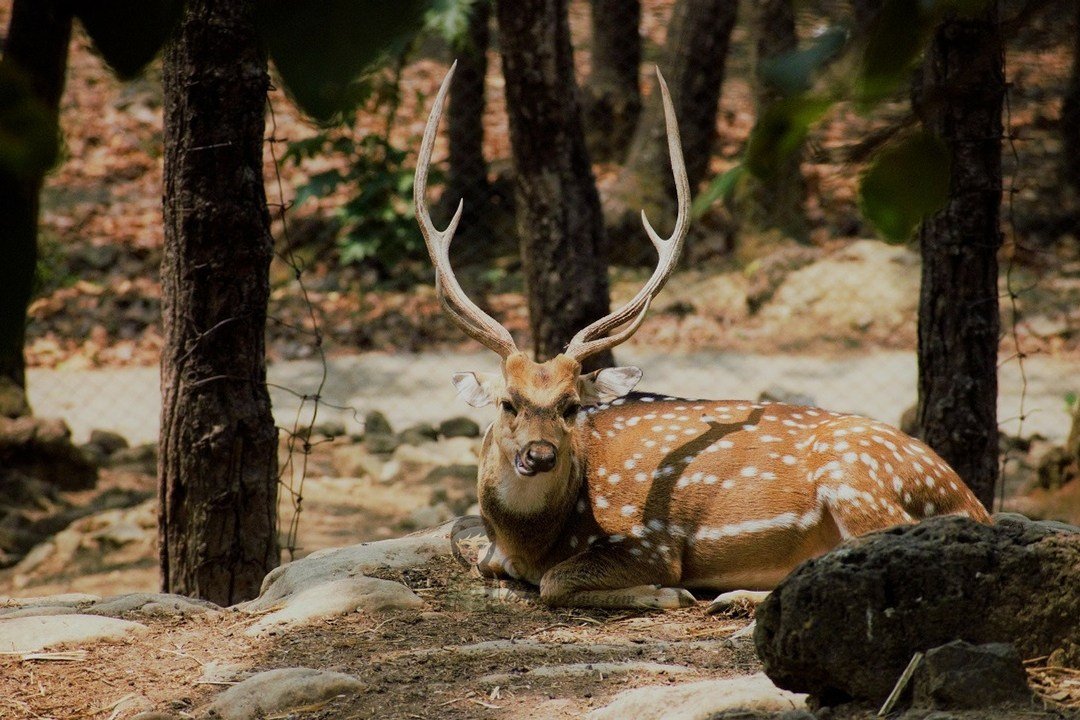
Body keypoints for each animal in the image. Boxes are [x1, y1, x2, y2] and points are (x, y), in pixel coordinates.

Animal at [415, 63, 992, 610]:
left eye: (571, 405)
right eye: (507, 402)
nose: (539, 455)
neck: (531, 539)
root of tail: (972, 503)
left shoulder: (651, 540)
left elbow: (557, 582)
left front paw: (665, 593)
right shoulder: (496, 553)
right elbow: (489, 564)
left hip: (857, 477)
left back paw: (729, 597)